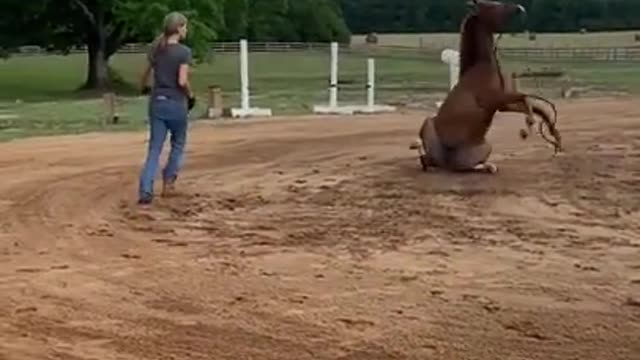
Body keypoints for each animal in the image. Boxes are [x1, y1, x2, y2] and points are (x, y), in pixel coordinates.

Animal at [410, 0, 560, 174]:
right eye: (492, 6)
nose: (520, 9)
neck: (483, 68)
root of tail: (448, 163)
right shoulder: (495, 99)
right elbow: (525, 98)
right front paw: (528, 128)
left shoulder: (502, 104)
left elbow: (533, 105)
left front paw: (555, 137)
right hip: (429, 127)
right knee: (428, 161)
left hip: (484, 148)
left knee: (453, 164)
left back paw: (489, 166)